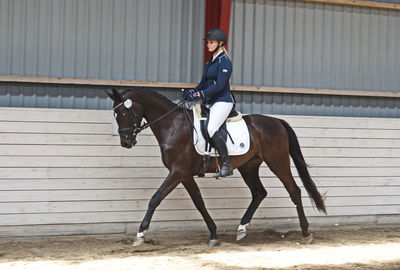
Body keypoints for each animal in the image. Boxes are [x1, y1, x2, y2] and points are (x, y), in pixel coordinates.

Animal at [107, 88, 328, 247]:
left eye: (123, 111)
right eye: (115, 113)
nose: (126, 142)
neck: (172, 125)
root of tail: (277, 121)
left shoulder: (177, 172)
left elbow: (155, 199)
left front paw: (140, 234)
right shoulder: (185, 175)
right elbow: (199, 202)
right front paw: (213, 234)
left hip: (277, 161)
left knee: (294, 190)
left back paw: (306, 232)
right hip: (249, 167)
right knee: (259, 193)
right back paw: (241, 229)